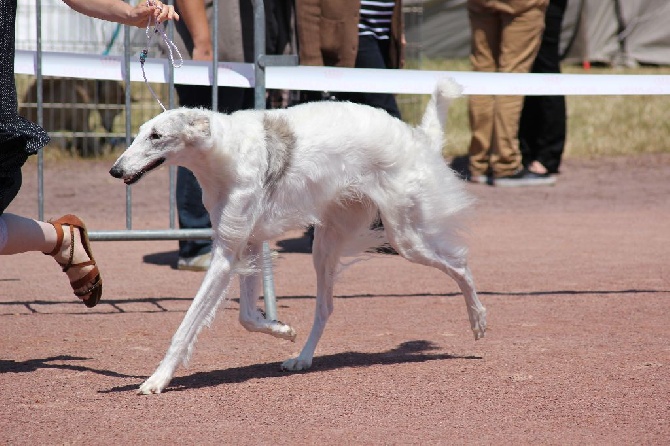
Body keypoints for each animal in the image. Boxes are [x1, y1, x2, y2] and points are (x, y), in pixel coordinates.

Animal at [110, 76, 488, 394]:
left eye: (156, 136)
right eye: (139, 133)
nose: (116, 170)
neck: (224, 149)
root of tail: (415, 136)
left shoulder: (228, 251)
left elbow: (188, 323)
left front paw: (157, 379)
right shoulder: (248, 243)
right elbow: (247, 317)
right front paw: (280, 328)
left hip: (405, 237)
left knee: (461, 265)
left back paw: (478, 319)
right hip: (327, 244)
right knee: (326, 308)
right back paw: (303, 358)